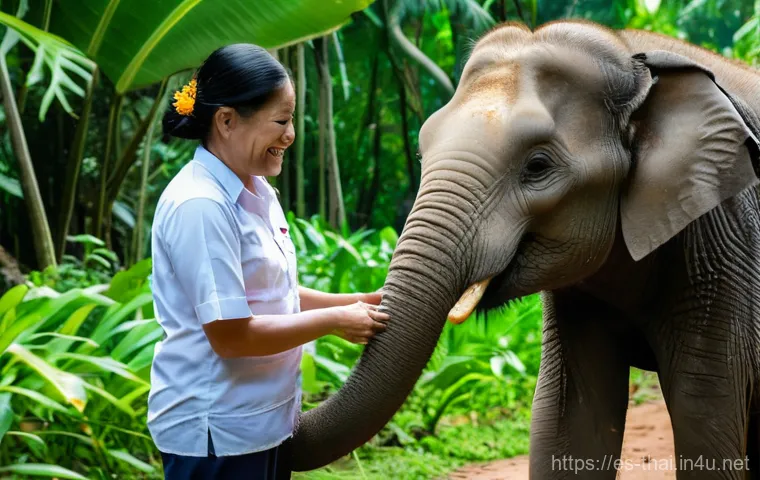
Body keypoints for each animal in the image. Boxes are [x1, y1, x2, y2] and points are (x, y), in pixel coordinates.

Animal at [288, 19, 760, 479]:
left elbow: (703, 414)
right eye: (421, 155)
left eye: (537, 166)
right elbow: (568, 421)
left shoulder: (724, 245)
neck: (631, 57)